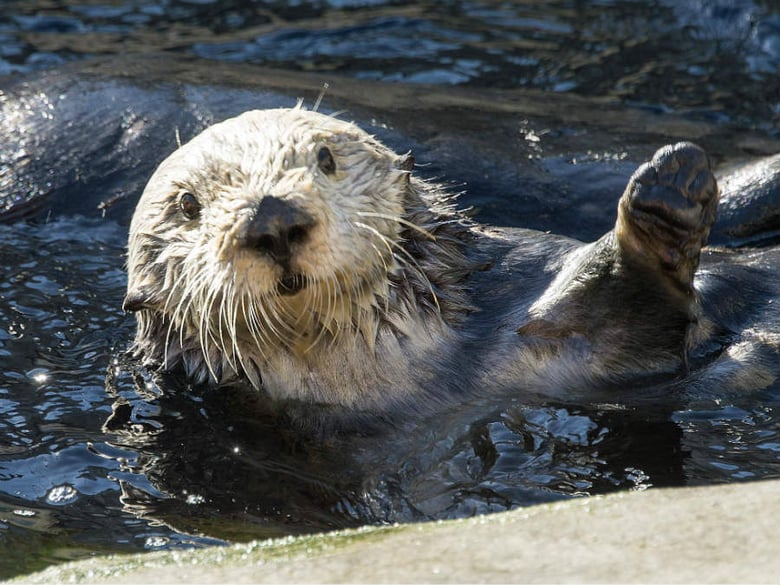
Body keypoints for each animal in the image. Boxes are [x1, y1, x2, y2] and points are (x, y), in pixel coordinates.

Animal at [123, 107, 779, 420]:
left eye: (326, 158)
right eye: (187, 205)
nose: (272, 218)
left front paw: (671, 190)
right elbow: (639, 313)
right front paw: (660, 214)